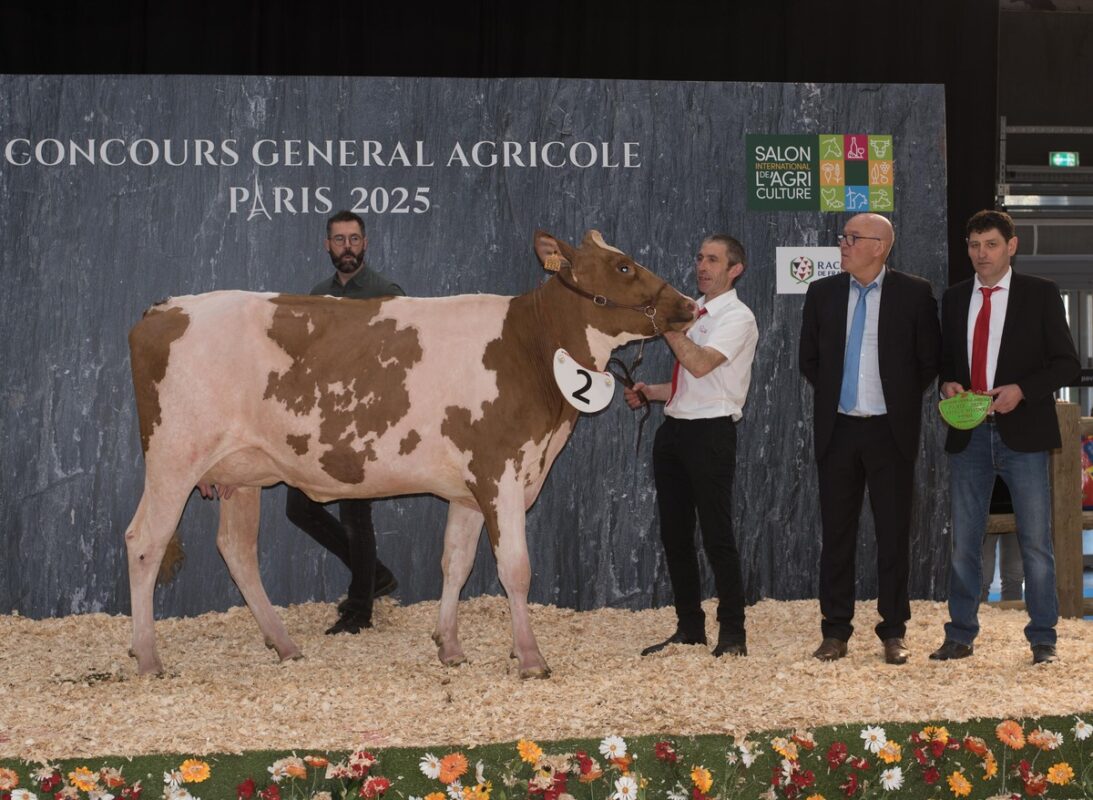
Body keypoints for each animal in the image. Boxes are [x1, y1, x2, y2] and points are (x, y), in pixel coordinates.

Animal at [125, 228, 690, 677]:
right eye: (623, 266)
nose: (688, 304)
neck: (529, 348)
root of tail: (163, 309)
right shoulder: (501, 471)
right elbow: (515, 567)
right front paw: (530, 658)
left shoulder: (468, 488)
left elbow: (455, 563)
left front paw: (450, 647)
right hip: (174, 457)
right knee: (145, 541)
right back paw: (148, 659)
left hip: (239, 472)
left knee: (236, 549)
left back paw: (283, 645)